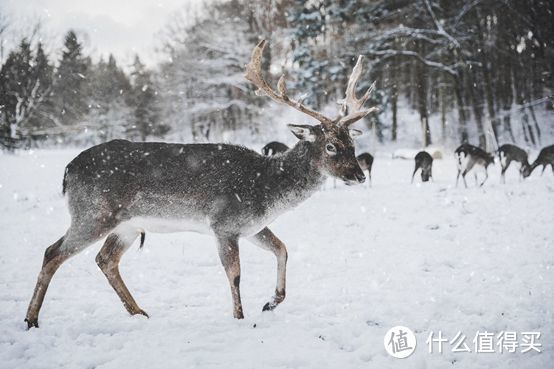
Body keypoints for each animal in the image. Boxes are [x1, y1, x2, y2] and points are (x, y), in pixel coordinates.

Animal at [22, 40, 376, 328]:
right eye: (330, 146)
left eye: (352, 142)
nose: (359, 175)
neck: (267, 189)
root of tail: (68, 170)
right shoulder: (224, 223)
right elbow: (235, 274)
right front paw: (240, 318)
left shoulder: (251, 226)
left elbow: (283, 249)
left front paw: (270, 303)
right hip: (93, 213)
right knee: (52, 252)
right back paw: (32, 319)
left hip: (127, 225)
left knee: (105, 259)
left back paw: (140, 313)